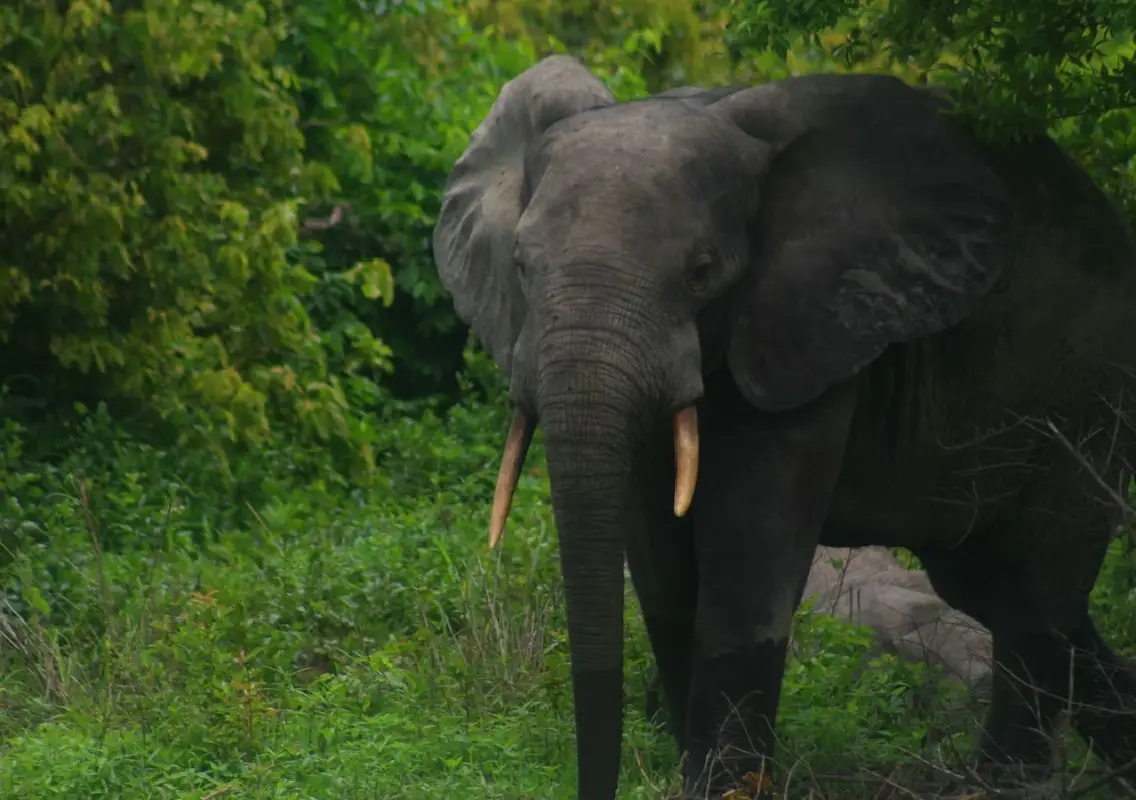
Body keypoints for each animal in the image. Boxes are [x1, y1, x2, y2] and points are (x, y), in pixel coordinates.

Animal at [432, 54, 1136, 800]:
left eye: (701, 272)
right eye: (520, 267)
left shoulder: (813, 322)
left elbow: (749, 559)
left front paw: (721, 788)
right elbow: (660, 567)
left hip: (1089, 386)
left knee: (1037, 595)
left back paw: (1003, 785)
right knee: (996, 587)